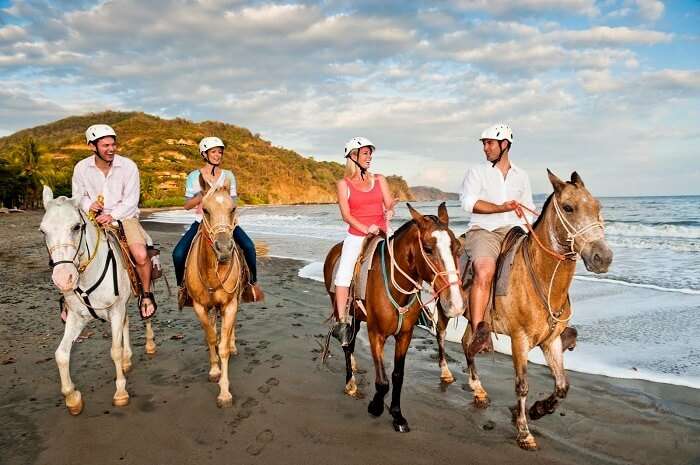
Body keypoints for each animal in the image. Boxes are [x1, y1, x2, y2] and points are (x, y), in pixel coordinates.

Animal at [41, 187, 156, 416]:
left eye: (76, 227)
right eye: (43, 231)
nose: (63, 278)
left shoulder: (115, 310)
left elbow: (115, 351)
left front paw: (120, 393)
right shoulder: (77, 318)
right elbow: (61, 354)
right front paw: (72, 398)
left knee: (146, 314)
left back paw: (149, 344)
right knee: (127, 323)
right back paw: (128, 359)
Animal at [183, 174, 246, 406]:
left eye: (233, 208)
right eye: (205, 209)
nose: (225, 249)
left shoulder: (230, 305)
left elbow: (223, 347)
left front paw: (224, 392)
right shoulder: (200, 307)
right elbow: (211, 338)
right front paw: (214, 370)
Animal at [322, 203, 464, 432]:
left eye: (457, 247)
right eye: (428, 248)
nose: (456, 304)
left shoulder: (405, 335)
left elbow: (398, 376)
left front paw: (397, 415)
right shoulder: (376, 334)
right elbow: (382, 382)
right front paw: (376, 406)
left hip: (357, 317)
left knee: (350, 345)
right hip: (341, 309)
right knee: (346, 344)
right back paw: (350, 383)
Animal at [434, 169, 608, 448]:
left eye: (597, 206)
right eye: (568, 208)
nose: (603, 258)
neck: (541, 277)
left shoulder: (551, 341)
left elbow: (562, 386)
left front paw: (538, 410)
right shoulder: (520, 340)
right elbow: (522, 385)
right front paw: (524, 431)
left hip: (475, 320)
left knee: (467, 343)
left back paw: (478, 389)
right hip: (444, 308)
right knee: (440, 336)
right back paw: (446, 374)